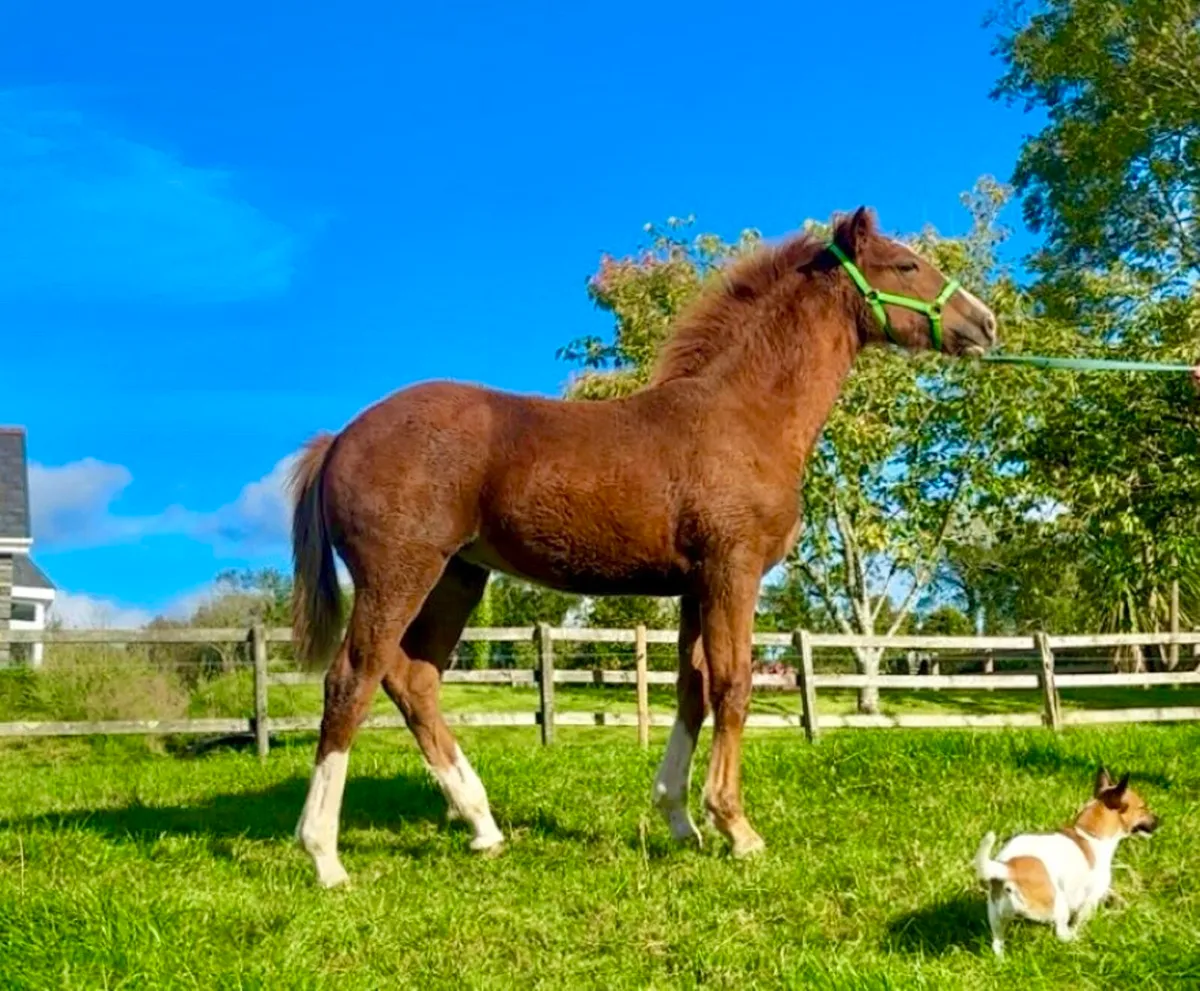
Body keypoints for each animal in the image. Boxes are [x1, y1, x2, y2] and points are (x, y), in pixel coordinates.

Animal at [287, 206, 998, 887]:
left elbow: (692, 686)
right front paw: (736, 828)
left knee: (412, 679)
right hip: (400, 572)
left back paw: (483, 826)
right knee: (352, 678)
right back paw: (324, 856)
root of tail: (339, 439)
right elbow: (733, 684)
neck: (744, 416)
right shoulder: (733, 570)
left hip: (458, 577)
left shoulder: (693, 585)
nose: (985, 324)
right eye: (905, 265)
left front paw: (681, 820)